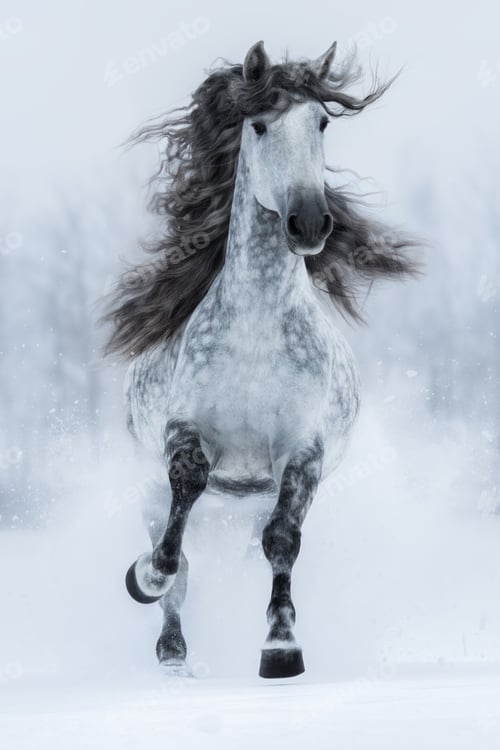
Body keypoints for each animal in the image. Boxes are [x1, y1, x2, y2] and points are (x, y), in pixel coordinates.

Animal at [104, 40, 418, 678]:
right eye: (259, 124)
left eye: (321, 122)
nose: (310, 222)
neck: (256, 333)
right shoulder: (184, 431)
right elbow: (179, 523)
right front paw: (144, 578)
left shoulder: (302, 452)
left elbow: (283, 540)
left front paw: (281, 646)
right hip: (147, 482)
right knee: (172, 542)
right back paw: (171, 648)